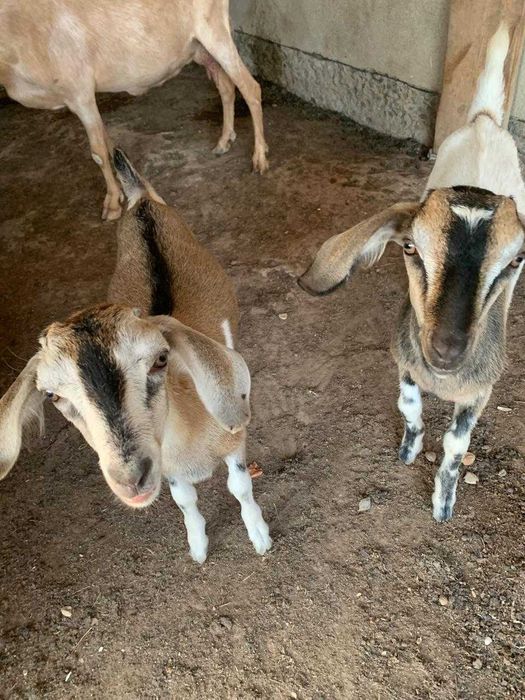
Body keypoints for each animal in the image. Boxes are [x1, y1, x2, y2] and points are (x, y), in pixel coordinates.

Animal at [0, 0, 268, 220]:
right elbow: (107, 144)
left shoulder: (79, 90)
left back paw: (259, 157)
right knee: (226, 86)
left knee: (250, 87)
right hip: (198, 47)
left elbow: (97, 152)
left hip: (215, 32)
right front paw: (120, 189)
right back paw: (224, 141)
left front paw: (111, 205)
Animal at [0, 148, 272, 563]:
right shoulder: (169, 469)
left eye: (161, 359)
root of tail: (141, 199)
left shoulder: (235, 442)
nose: (131, 479)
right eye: (52, 395)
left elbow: (239, 488)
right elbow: (184, 500)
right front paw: (198, 547)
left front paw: (260, 537)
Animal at [298, 24, 525, 522]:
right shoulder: (403, 358)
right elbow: (408, 407)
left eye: (515, 259)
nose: (445, 351)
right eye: (409, 247)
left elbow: (456, 446)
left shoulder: (481, 389)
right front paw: (407, 450)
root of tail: (485, 121)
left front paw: (443, 503)